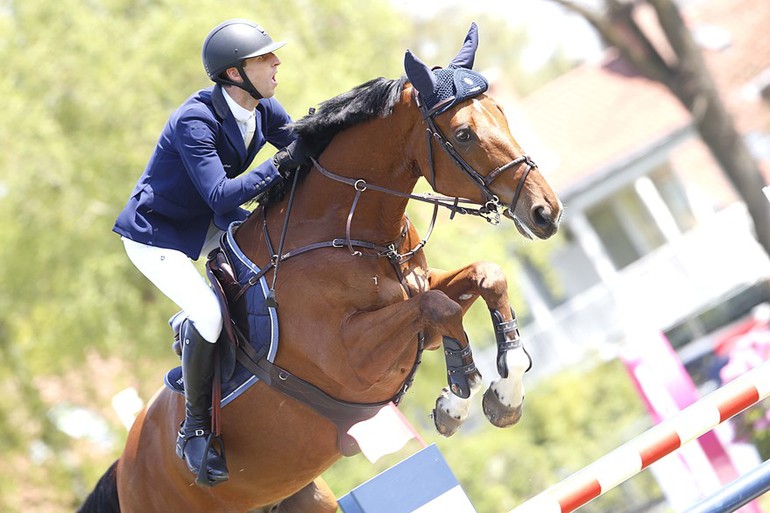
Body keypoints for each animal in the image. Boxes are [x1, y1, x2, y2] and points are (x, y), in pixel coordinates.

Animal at [79, 24, 560, 512]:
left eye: (501, 112)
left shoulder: (420, 297)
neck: (346, 232)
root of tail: (124, 467)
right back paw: (199, 451)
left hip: (301, 496)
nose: (545, 212)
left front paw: (504, 396)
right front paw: (454, 401)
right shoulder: (355, 359)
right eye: (463, 134)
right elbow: (439, 308)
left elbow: (486, 277)